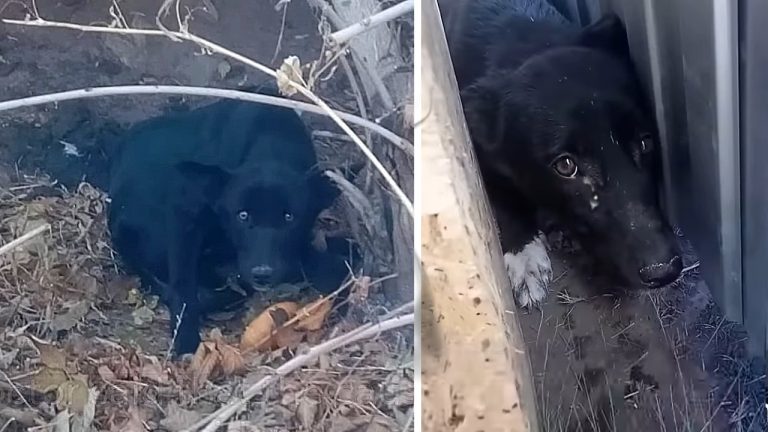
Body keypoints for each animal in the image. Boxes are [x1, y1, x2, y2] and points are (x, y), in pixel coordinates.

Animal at [106, 88, 352, 354]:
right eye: (242, 215)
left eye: (289, 217)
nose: (262, 274)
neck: (270, 142)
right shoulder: (184, 214)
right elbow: (183, 285)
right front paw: (185, 339)